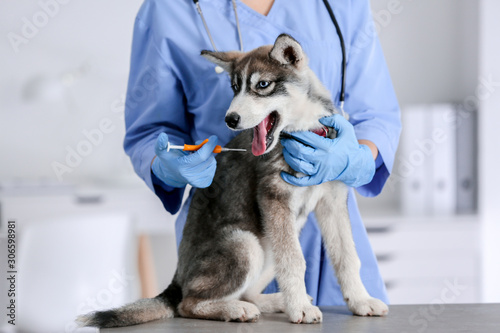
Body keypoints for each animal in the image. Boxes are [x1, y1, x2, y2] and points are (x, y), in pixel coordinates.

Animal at [78, 33, 388, 326]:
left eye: (262, 85)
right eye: (234, 88)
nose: (230, 119)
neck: (304, 131)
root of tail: (176, 282)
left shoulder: (332, 201)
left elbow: (347, 257)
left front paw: (360, 300)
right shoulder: (274, 197)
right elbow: (295, 261)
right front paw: (300, 308)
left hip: (268, 244)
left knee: (246, 291)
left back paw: (272, 301)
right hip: (246, 244)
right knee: (188, 304)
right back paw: (237, 309)